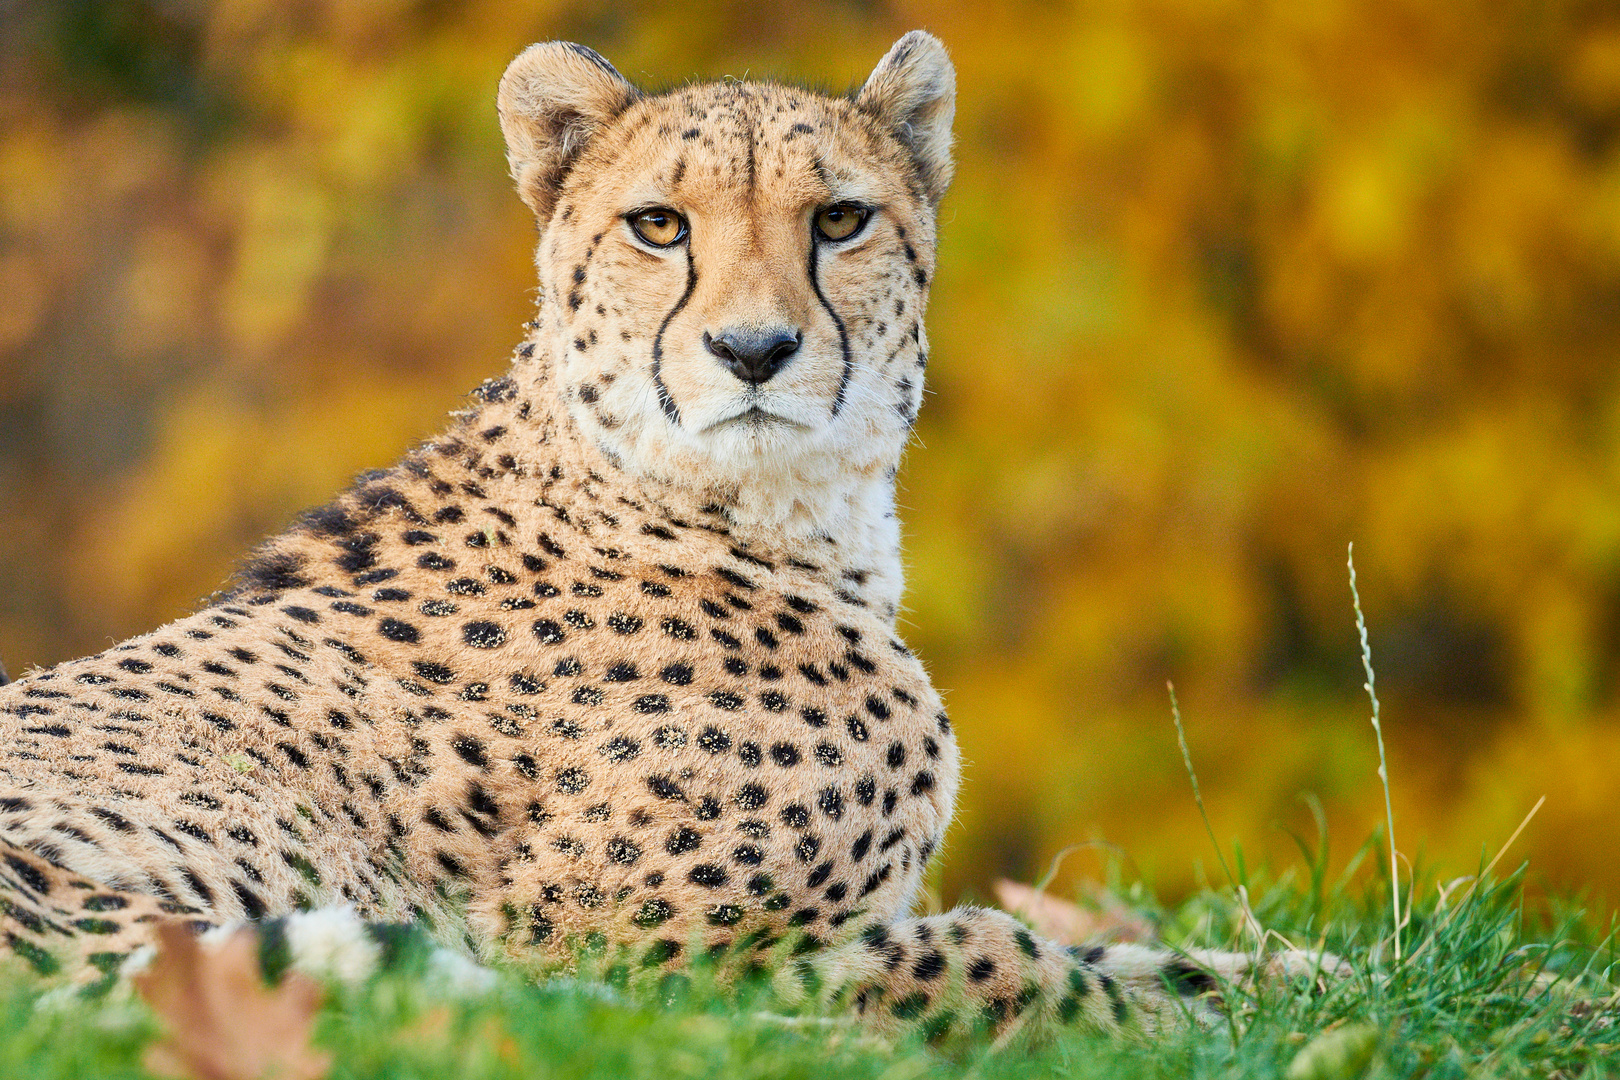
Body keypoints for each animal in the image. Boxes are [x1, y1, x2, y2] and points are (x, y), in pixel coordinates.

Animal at [0, 33, 1315, 1042]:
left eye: (841, 219)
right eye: (658, 226)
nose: (755, 350)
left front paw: (1290, 977)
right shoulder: (599, 943)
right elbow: (999, 957)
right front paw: (1205, 1010)